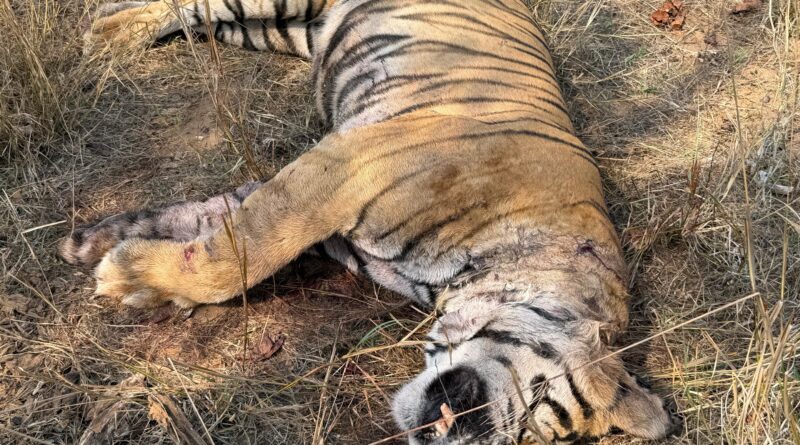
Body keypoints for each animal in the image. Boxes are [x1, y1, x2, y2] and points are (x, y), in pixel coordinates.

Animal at [62, 0, 682, 443]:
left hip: (282, 30)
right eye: (537, 398)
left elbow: (216, 223)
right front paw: (122, 274)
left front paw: (103, 248)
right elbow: (238, 259)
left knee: (203, 19)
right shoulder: (342, 169)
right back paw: (104, 36)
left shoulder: (326, 220)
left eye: (532, 437)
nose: (466, 436)